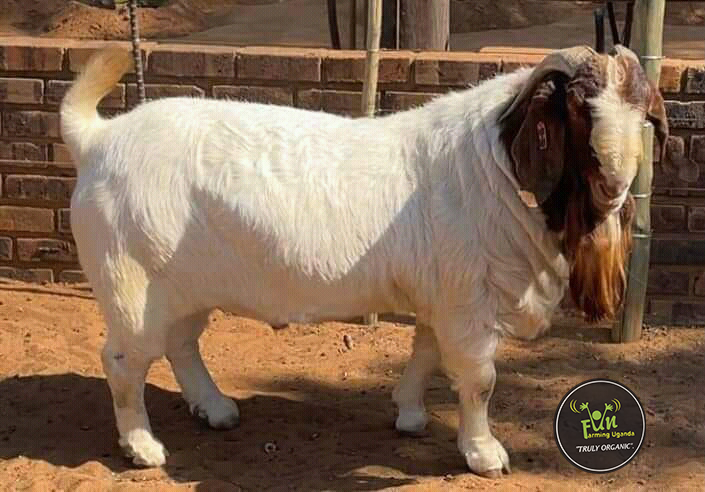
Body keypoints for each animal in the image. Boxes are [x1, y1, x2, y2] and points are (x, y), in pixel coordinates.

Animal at [59, 44, 668, 477]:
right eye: (579, 106)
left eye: (641, 110)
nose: (616, 184)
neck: (489, 166)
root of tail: (98, 138)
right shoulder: (467, 303)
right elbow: (478, 380)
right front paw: (484, 454)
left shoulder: (440, 296)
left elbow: (425, 351)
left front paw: (410, 415)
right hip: (132, 285)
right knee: (124, 361)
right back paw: (143, 447)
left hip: (184, 286)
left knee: (182, 344)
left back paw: (216, 410)